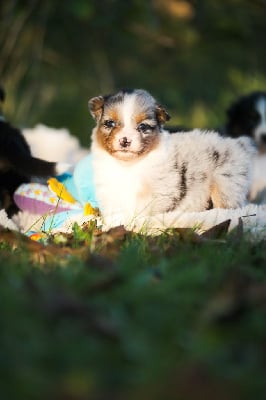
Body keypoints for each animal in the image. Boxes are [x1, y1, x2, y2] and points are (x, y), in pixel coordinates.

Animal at [88, 88, 256, 223]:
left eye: (143, 126)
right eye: (110, 123)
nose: (125, 141)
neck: (128, 165)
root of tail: (240, 143)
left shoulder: (161, 191)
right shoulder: (110, 192)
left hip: (226, 183)